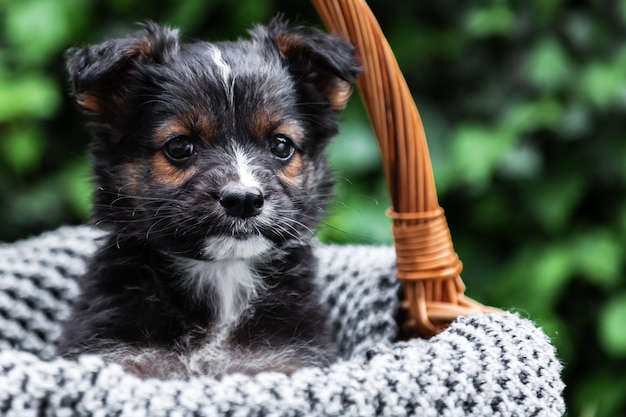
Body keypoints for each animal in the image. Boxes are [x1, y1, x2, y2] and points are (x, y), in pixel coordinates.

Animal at [56, 17, 358, 378]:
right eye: (179, 146)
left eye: (281, 145)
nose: (244, 200)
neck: (223, 275)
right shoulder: (117, 354)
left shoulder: (286, 359)